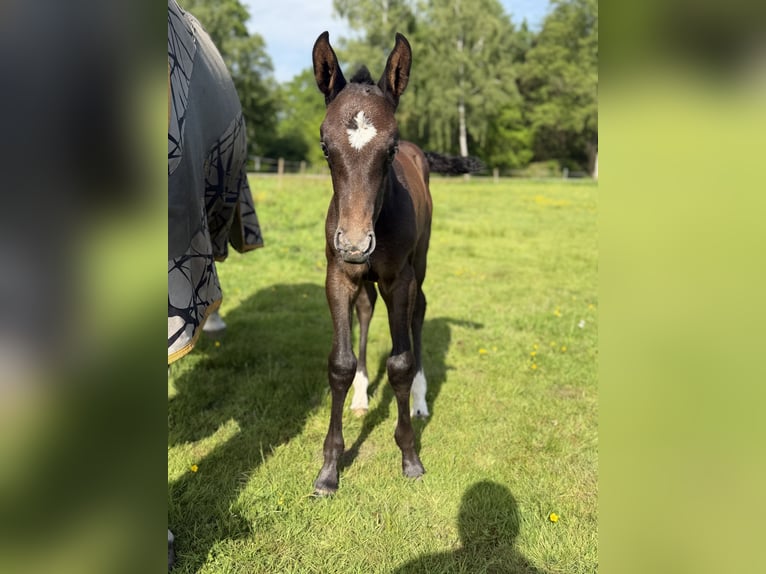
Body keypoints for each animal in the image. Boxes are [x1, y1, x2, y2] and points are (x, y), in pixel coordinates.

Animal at [311, 31, 480, 495]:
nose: (354, 243)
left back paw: (420, 401)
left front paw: (410, 457)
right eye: (325, 147)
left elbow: (401, 364)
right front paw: (329, 469)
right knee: (367, 311)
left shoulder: (399, 279)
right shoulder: (339, 276)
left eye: (389, 151)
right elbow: (340, 363)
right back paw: (362, 395)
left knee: (419, 312)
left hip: (418, 264)